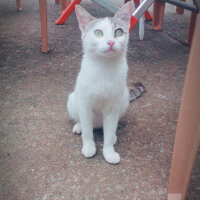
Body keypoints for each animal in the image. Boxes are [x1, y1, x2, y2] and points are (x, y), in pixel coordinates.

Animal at [67, 1, 133, 164]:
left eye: (118, 32)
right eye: (98, 33)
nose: (110, 42)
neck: (105, 67)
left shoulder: (112, 107)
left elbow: (108, 134)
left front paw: (109, 152)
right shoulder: (85, 104)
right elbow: (87, 132)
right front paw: (89, 147)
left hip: (124, 99)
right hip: (72, 100)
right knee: (83, 122)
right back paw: (79, 126)